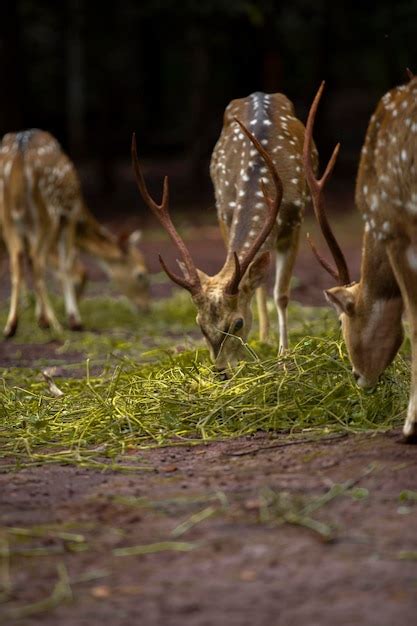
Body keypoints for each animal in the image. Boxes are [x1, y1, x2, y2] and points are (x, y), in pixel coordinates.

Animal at [0, 128, 150, 336]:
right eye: (141, 275)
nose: (146, 308)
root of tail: (19, 158)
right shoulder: (70, 215)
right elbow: (68, 265)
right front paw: (71, 319)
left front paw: (40, 317)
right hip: (48, 213)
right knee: (37, 260)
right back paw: (55, 324)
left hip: (9, 216)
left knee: (18, 261)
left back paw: (11, 326)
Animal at [132, 90, 316, 368]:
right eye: (199, 324)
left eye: (237, 323)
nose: (220, 370)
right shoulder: (223, 214)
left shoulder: (296, 221)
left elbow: (282, 294)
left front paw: (285, 357)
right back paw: (264, 338)